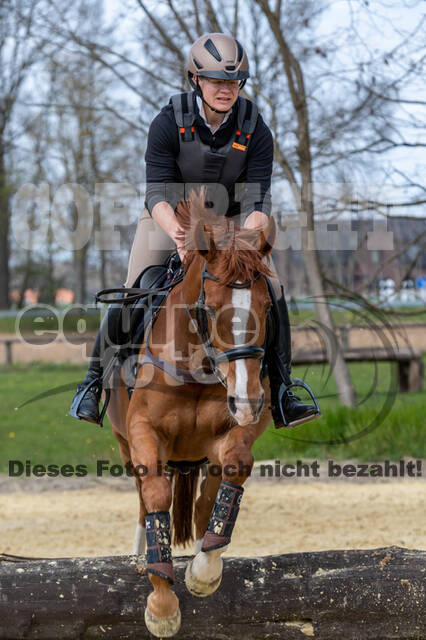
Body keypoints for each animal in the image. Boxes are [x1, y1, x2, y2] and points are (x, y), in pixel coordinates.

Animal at [106, 198, 276, 636]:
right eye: (210, 309)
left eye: (267, 306)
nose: (248, 399)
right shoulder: (143, 432)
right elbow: (155, 496)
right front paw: (162, 605)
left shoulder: (235, 432)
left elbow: (232, 474)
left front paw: (204, 570)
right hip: (124, 444)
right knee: (141, 496)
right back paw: (137, 556)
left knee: (204, 499)